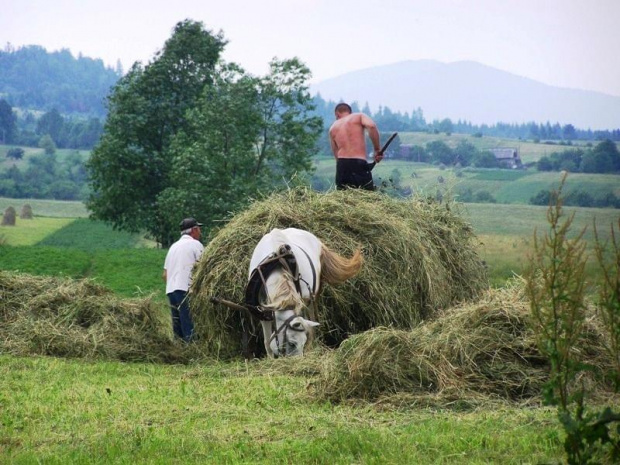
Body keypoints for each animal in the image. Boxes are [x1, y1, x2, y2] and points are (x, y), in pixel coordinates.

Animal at [248, 227, 364, 358]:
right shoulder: (262, 311)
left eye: (302, 342)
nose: (298, 360)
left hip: (311, 298)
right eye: (292, 343)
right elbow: (267, 341)